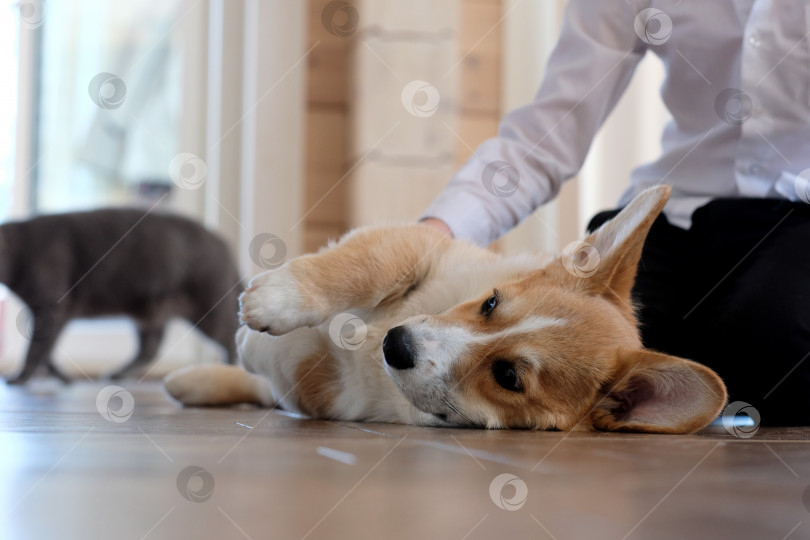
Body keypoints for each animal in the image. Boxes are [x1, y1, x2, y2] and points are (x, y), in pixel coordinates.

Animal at [0, 210, 240, 384]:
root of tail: (223, 242)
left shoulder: (50, 308)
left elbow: (35, 351)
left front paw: (20, 378)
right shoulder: (47, 316)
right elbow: (46, 351)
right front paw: (62, 377)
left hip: (207, 310)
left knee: (232, 335)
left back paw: (232, 370)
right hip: (150, 314)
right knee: (150, 349)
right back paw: (118, 373)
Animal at [164, 187, 724, 434]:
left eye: (508, 376)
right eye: (491, 302)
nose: (395, 343)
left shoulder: (325, 390)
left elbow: (281, 362)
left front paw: (259, 330)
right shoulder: (415, 248)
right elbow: (356, 267)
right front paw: (278, 299)